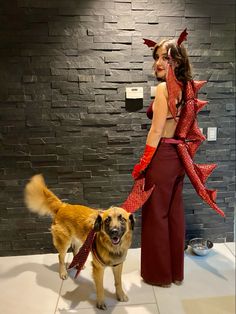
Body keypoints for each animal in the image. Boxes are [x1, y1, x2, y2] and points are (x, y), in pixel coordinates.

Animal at [24, 174, 135, 310]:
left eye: (122, 219)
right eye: (107, 220)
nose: (114, 231)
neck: (112, 247)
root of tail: (63, 206)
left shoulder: (118, 265)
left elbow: (118, 282)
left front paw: (120, 295)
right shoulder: (98, 268)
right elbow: (100, 287)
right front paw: (100, 302)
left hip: (78, 240)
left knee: (75, 250)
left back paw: (79, 264)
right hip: (64, 242)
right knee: (60, 257)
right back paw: (63, 272)